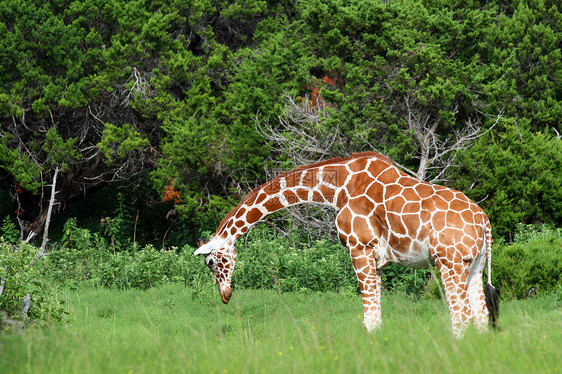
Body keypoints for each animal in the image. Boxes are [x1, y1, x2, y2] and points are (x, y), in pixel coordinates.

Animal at [194, 151, 498, 336]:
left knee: (462, 314)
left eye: (210, 261)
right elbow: (376, 316)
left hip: (449, 261)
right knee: (481, 315)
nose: (225, 295)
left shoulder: (359, 247)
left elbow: (370, 319)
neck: (335, 188)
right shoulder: (377, 259)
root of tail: (484, 220)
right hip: (474, 264)